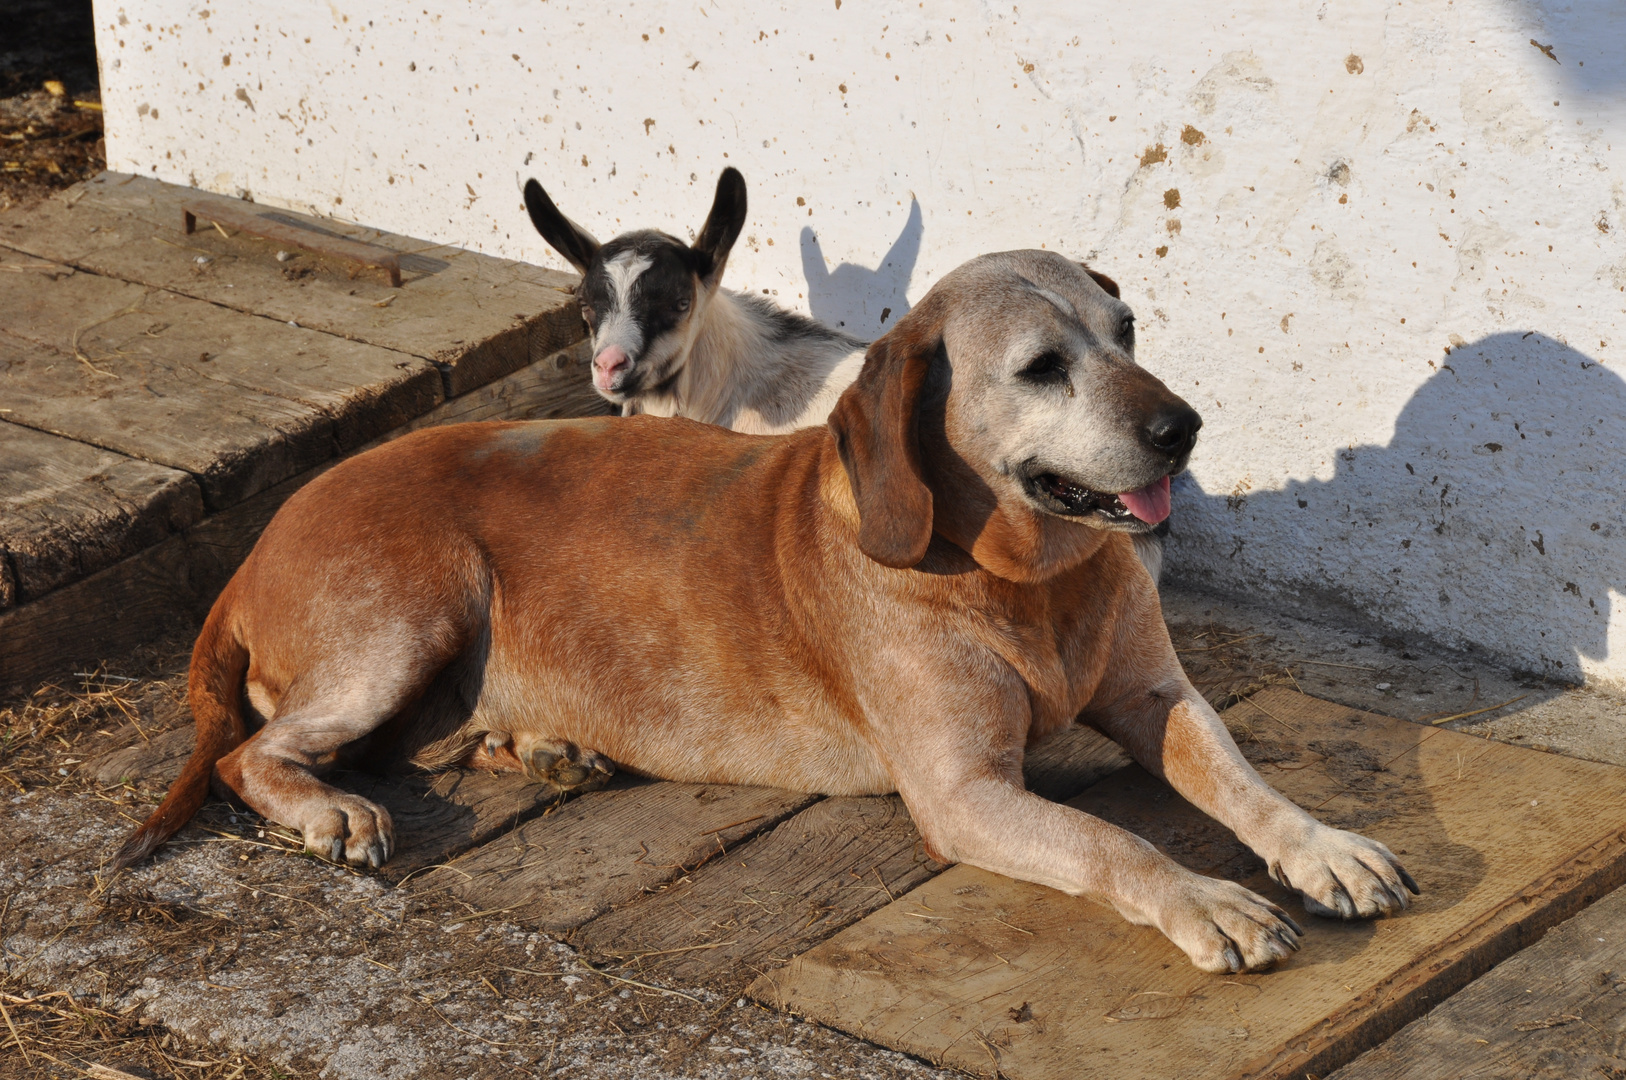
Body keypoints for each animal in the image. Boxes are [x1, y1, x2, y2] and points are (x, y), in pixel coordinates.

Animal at [114, 250, 1417, 969]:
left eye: (1129, 331)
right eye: (1043, 368)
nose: (1181, 426)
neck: (1024, 575)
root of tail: (253, 551)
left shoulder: (1161, 697)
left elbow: (1243, 779)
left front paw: (1322, 845)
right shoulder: (965, 795)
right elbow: (1118, 842)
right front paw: (1206, 898)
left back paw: (539, 745)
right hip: (409, 612)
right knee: (252, 755)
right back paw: (333, 805)